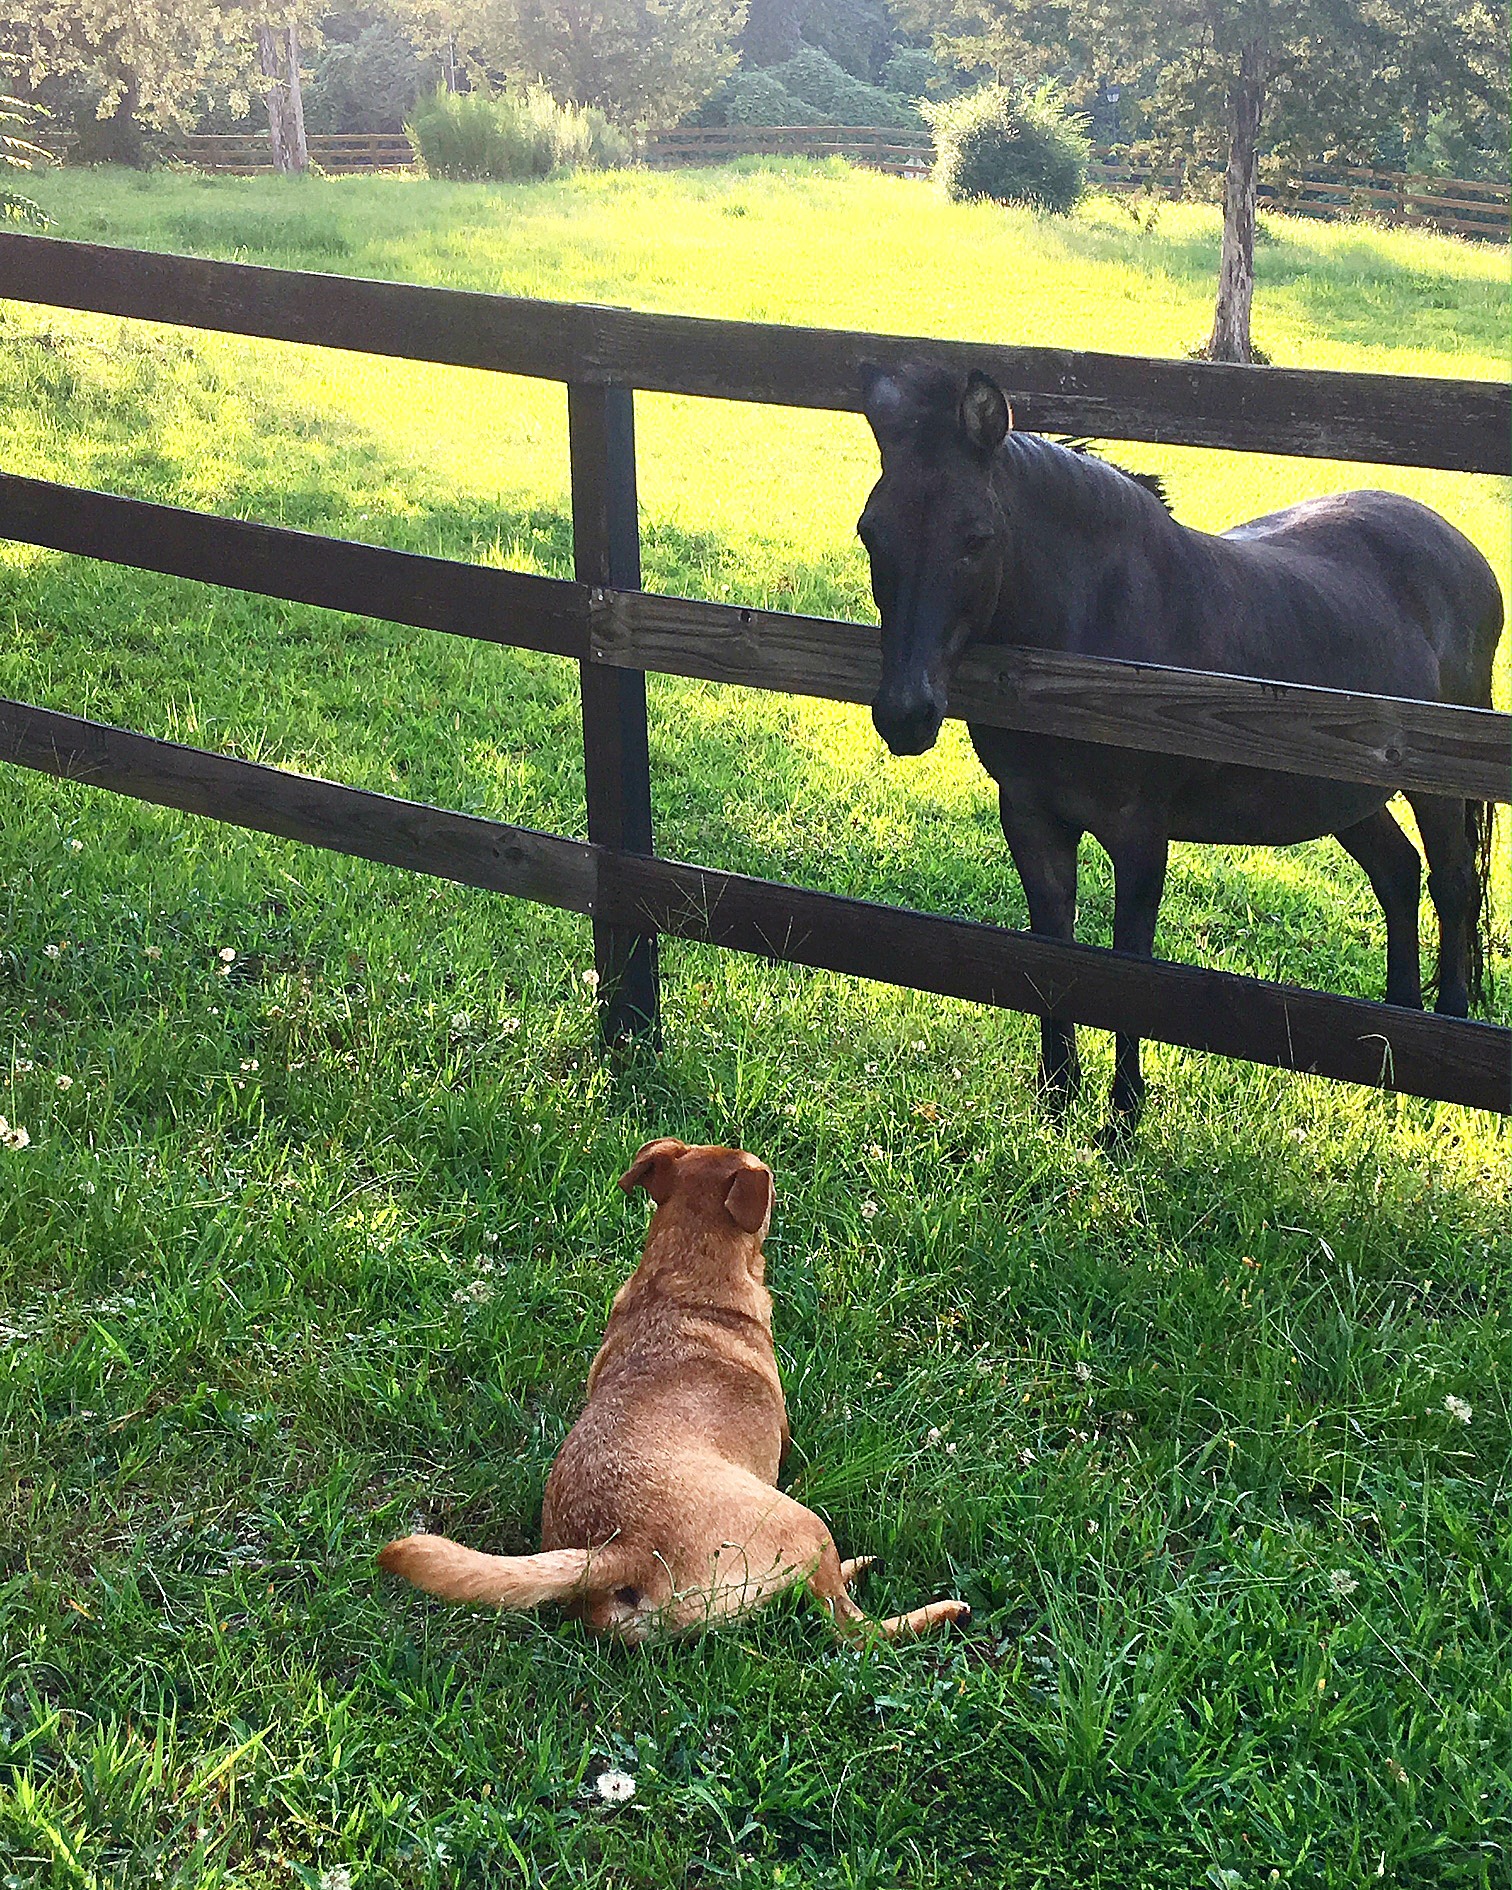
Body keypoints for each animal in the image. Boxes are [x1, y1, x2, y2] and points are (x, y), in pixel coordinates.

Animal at [858, 360, 1504, 1126]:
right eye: (871, 533)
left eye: (976, 538)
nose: (906, 713)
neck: (1090, 644)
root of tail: (1461, 549)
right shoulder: (1033, 819)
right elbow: (1053, 955)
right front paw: (1058, 1099)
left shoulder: (1139, 832)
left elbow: (1127, 966)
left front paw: (1122, 1116)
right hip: (1342, 792)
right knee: (1397, 872)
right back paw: (1390, 1042)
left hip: (1437, 783)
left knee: (1453, 884)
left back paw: (1447, 1027)